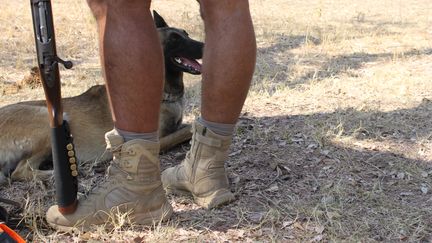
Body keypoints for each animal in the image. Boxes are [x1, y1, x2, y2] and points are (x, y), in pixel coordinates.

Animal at [0, 9, 204, 184]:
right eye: (175, 39)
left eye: (186, 33)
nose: (205, 45)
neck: (165, 94)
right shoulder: (154, 141)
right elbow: (189, 128)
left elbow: (185, 125)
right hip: (49, 119)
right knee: (21, 171)